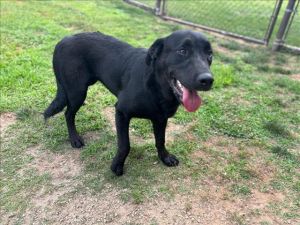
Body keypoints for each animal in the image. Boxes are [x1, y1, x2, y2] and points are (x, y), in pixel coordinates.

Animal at [44, 29, 213, 176]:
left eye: (210, 55)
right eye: (182, 51)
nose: (208, 80)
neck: (156, 88)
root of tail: (64, 39)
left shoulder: (160, 119)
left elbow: (161, 140)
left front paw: (165, 157)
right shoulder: (121, 112)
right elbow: (125, 145)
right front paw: (117, 166)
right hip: (77, 92)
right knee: (68, 114)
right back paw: (74, 139)